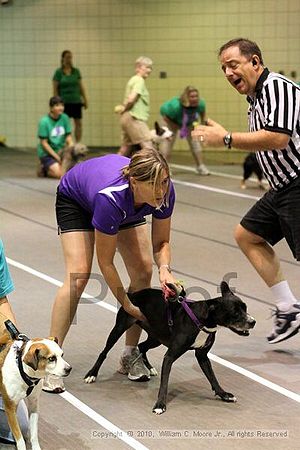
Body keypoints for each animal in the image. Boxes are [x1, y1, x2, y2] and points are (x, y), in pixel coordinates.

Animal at [0, 320, 71, 450]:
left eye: (62, 355)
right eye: (51, 358)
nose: (69, 369)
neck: (22, 369)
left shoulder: (34, 404)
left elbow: (34, 433)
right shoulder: (10, 408)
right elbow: (20, 439)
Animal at [84, 282, 255, 414]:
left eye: (245, 308)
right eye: (235, 313)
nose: (253, 322)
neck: (201, 320)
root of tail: (132, 294)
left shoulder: (202, 356)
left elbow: (212, 377)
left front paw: (223, 394)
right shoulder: (170, 356)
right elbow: (164, 384)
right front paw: (160, 405)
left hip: (156, 337)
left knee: (142, 346)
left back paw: (150, 367)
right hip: (120, 327)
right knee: (105, 352)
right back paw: (92, 374)